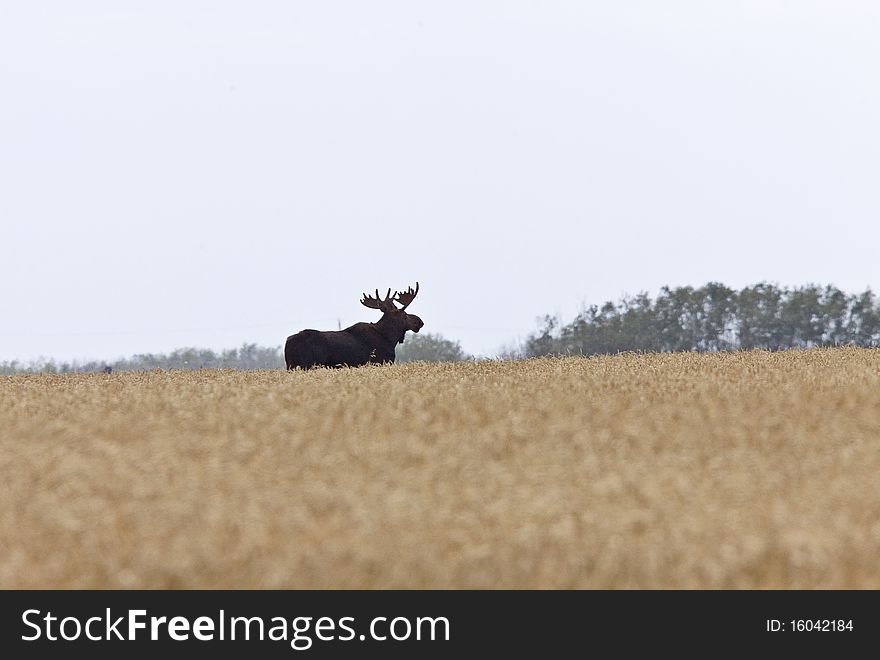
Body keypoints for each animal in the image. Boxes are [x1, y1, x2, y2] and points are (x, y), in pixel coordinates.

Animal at [286, 282, 422, 368]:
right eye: (405, 315)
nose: (420, 321)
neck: (389, 338)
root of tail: (288, 343)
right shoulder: (381, 361)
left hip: (291, 366)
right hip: (308, 364)